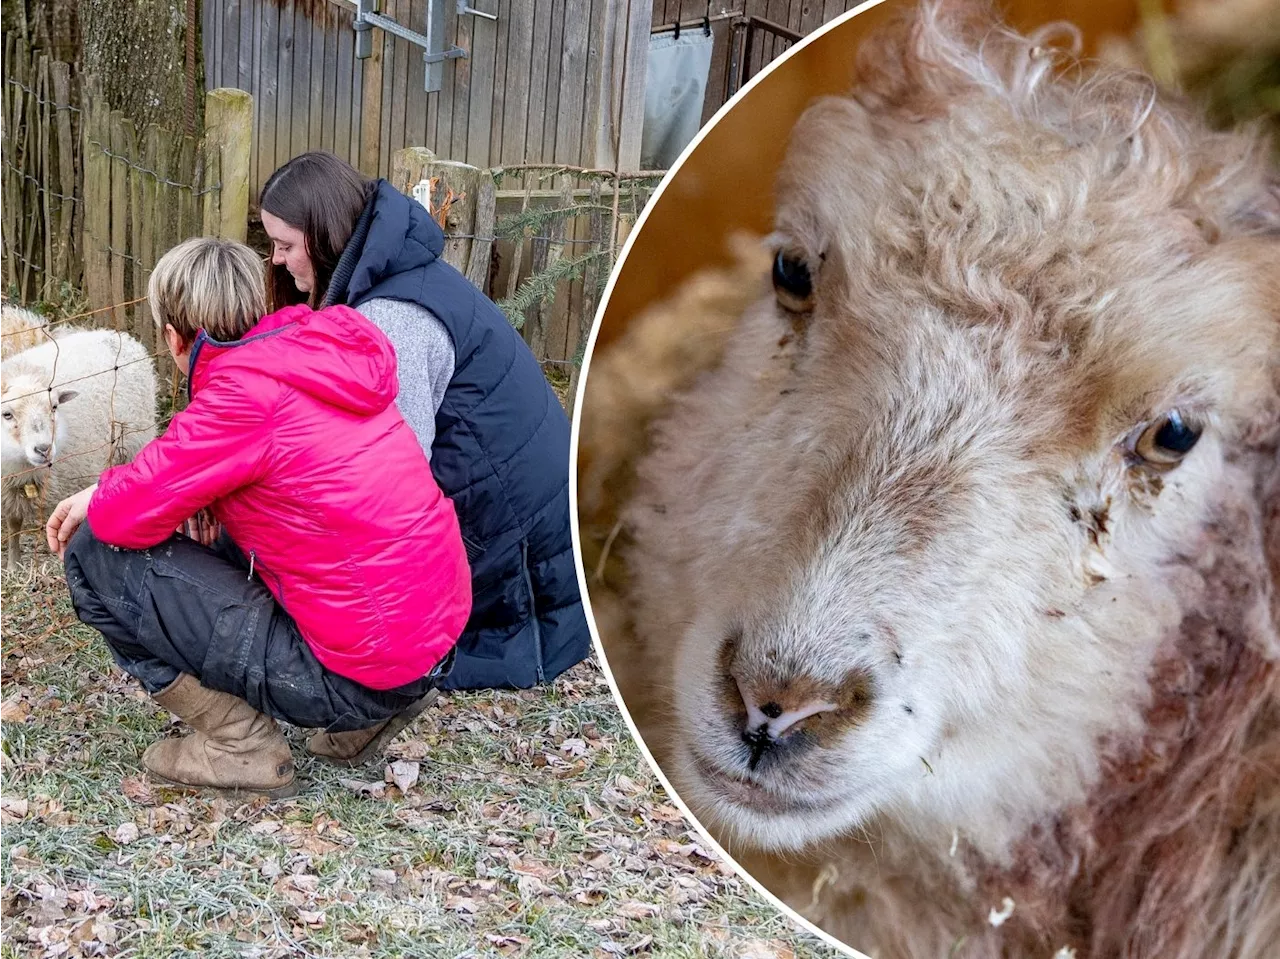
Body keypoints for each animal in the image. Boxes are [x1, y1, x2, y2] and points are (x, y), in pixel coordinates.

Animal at [1, 330, 156, 568]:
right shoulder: (8, 486)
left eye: (54, 407)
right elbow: (13, 524)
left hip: (138, 439)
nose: (43, 449)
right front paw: (13, 564)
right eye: (7, 414)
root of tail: (119, 335)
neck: (22, 468)